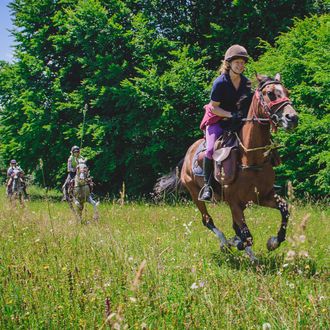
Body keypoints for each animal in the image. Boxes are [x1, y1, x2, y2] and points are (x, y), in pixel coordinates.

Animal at [155, 74, 300, 260]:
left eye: (287, 91)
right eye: (270, 94)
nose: (292, 118)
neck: (251, 159)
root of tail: (187, 154)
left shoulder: (263, 196)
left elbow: (284, 210)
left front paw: (273, 242)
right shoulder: (234, 202)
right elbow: (247, 236)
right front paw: (245, 251)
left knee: (234, 227)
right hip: (195, 194)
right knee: (207, 220)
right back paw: (225, 243)